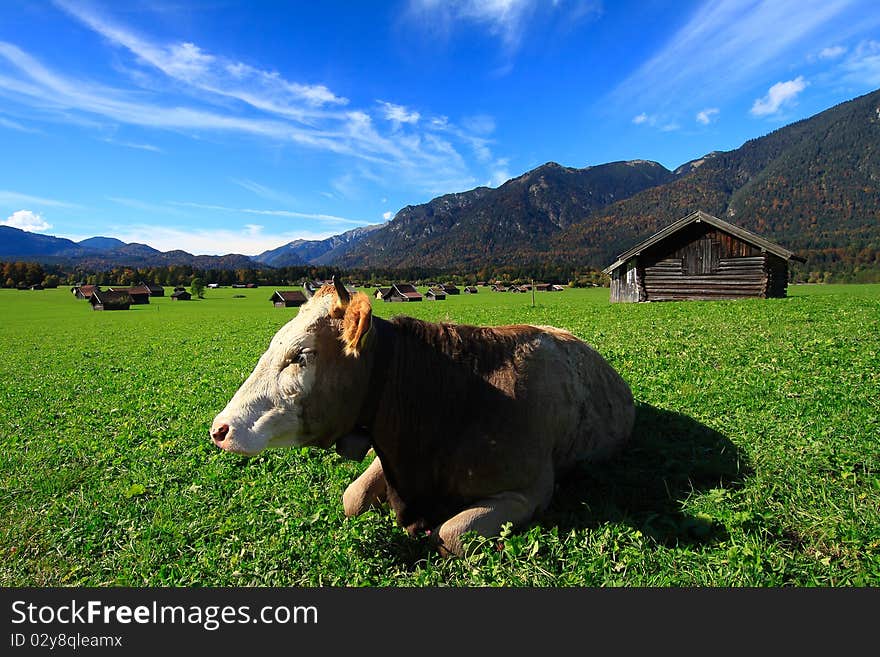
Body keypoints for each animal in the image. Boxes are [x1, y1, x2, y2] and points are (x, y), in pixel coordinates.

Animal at [210, 276, 636, 552]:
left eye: (301, 355)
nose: (219, 429)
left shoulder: (531, 490)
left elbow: (450, 534)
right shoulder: (387, 448)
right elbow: (352, 497)